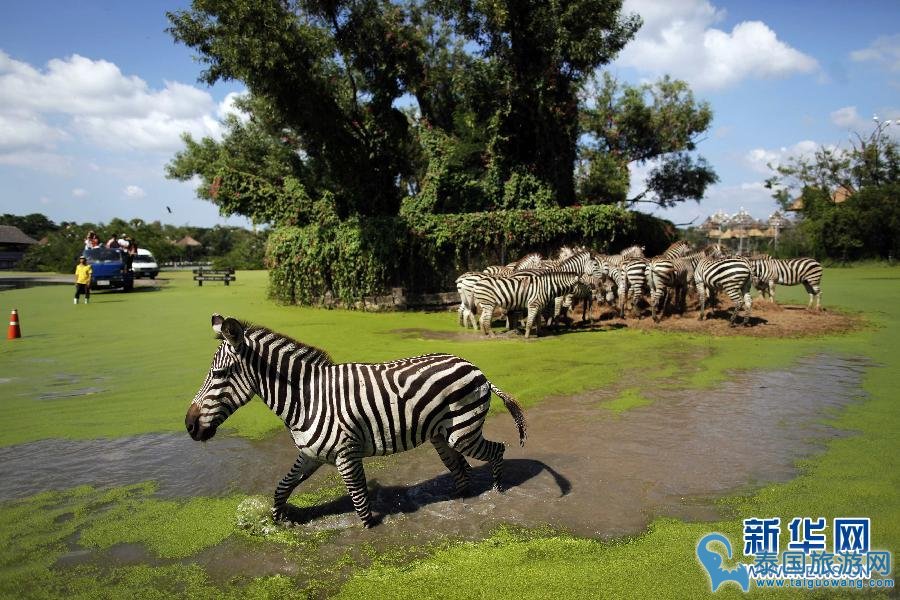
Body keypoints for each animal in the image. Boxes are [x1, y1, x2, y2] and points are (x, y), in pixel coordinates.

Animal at [189, 314, 528, 528]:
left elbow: (361, 506)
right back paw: (457, 500)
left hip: (463, 432)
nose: (189, 426)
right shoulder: (310, 455)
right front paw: (277, 520)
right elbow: (282, 487)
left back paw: (498, 491)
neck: (306, 399)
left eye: (219, 375)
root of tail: (476, 368)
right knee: (462, 471)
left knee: (498, 450)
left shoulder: (347, 455)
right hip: (441, 436)